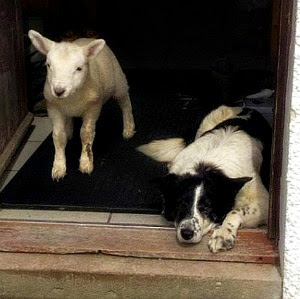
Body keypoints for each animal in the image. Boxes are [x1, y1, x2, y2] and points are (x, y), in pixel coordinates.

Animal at [28, 29, 136, 180]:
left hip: (118, 82)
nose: (59, 91)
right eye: (48, 66)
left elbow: (86, 134)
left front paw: (85, 163)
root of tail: (88, 38)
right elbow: (58, 136)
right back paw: (69, 131)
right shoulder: (53, 107)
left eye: (79, 69)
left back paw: (128, 128)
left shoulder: (93, 107)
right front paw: (59, 167)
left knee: (125, 103)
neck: (72, 97)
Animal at [138, 105, 272, 253]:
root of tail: (245, 107)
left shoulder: (264, 203)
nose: (186, 233)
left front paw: (223, 234)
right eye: (180, 204)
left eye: (207, 207)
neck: (207, 166)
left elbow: (234, 211)